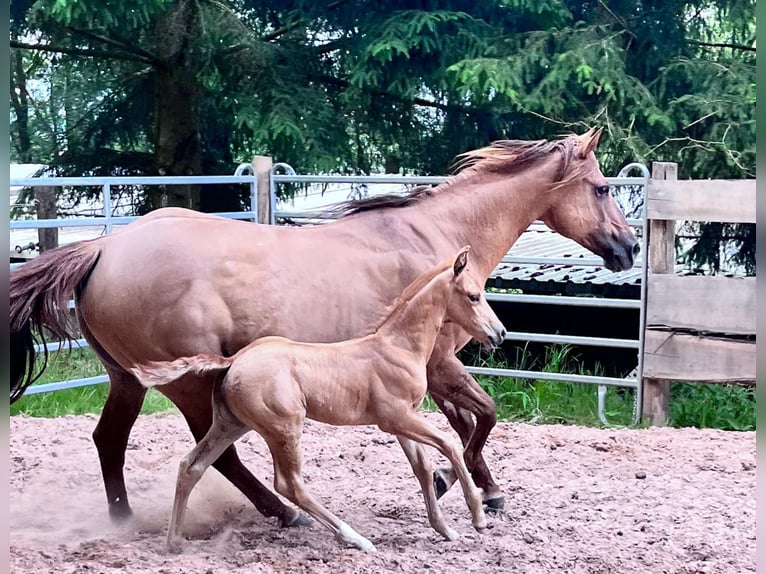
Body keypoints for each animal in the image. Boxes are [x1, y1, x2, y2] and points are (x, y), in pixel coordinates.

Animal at [130, 246, 510, 552]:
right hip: (284, 427)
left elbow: (422, 469)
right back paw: (354, 537)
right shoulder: (396, 418)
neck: (398, 347)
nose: (500, 333)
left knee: (191, 466)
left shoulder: (403, 423)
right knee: (289, 483)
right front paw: (477, 516)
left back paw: (175, 542)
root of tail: (234, 360)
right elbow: (450, 444)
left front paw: (445, 529)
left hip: (230, 424)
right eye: (474, 296)